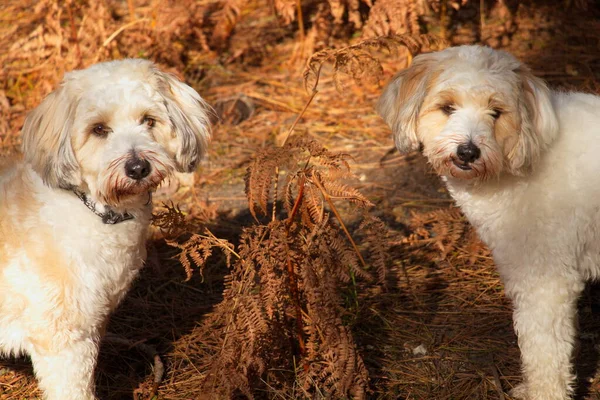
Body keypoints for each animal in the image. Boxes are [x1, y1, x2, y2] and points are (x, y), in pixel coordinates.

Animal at [0, 59, 211, 400]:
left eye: (148, 120)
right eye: (98, 129)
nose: (138, 168)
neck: (93, 209)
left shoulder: (91, 322)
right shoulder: (62, 339)